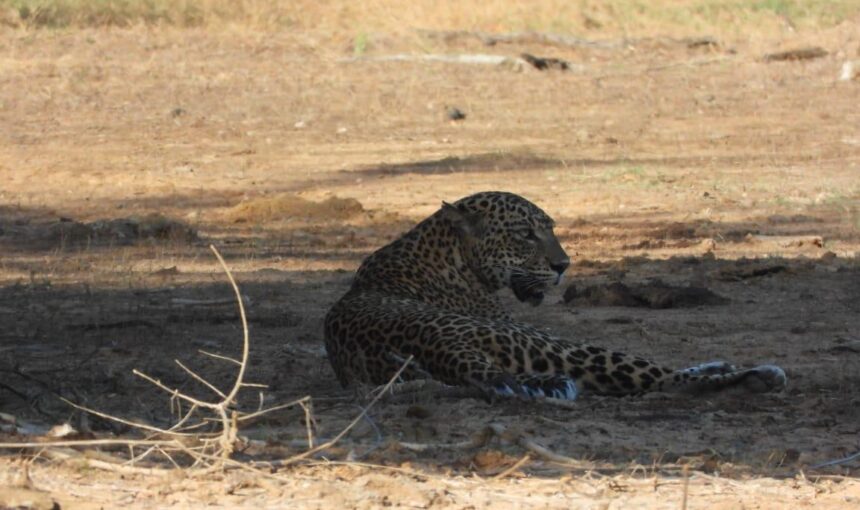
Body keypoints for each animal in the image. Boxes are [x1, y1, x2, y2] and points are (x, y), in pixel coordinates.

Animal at [322, 189, 788, 400]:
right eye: (526, 234)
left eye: (551, 229)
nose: (564, 266)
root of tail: (443, 353)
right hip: (549, 345)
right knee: (661, 380)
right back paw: (758, 375)